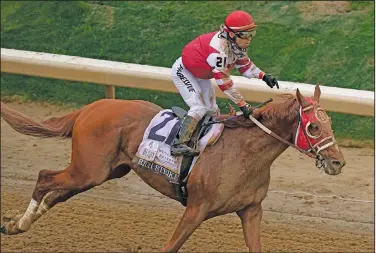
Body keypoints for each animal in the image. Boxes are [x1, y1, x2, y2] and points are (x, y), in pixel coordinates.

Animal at [0, 84, 346, 251]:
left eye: (330, 122)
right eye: (314, 126)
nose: (338, 162)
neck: (245, 154)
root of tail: (92, 106)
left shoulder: (251, 210)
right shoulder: (196, 209)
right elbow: (170, 246)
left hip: (102, 173)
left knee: (57, 193)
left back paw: (16, 224)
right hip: (88, 169)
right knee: (45, 178)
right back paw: (18, 224)